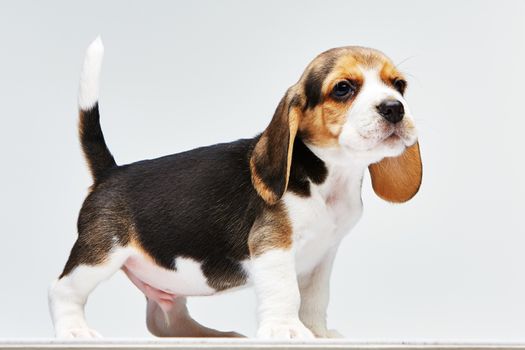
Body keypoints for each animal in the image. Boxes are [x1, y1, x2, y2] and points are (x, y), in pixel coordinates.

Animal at [48, 37, 422, 340]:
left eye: (399, 85)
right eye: (343, 88)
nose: (394, 108)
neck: (330, 176)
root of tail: (110, 172)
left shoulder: (324, 255)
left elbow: (315, 298)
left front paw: (318, 333)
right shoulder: (272, 244)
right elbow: (286, 292)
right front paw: (286, 330)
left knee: (164, 320)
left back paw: (209, 335)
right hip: (101, 254)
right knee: (61, 290)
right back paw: (74, 330)